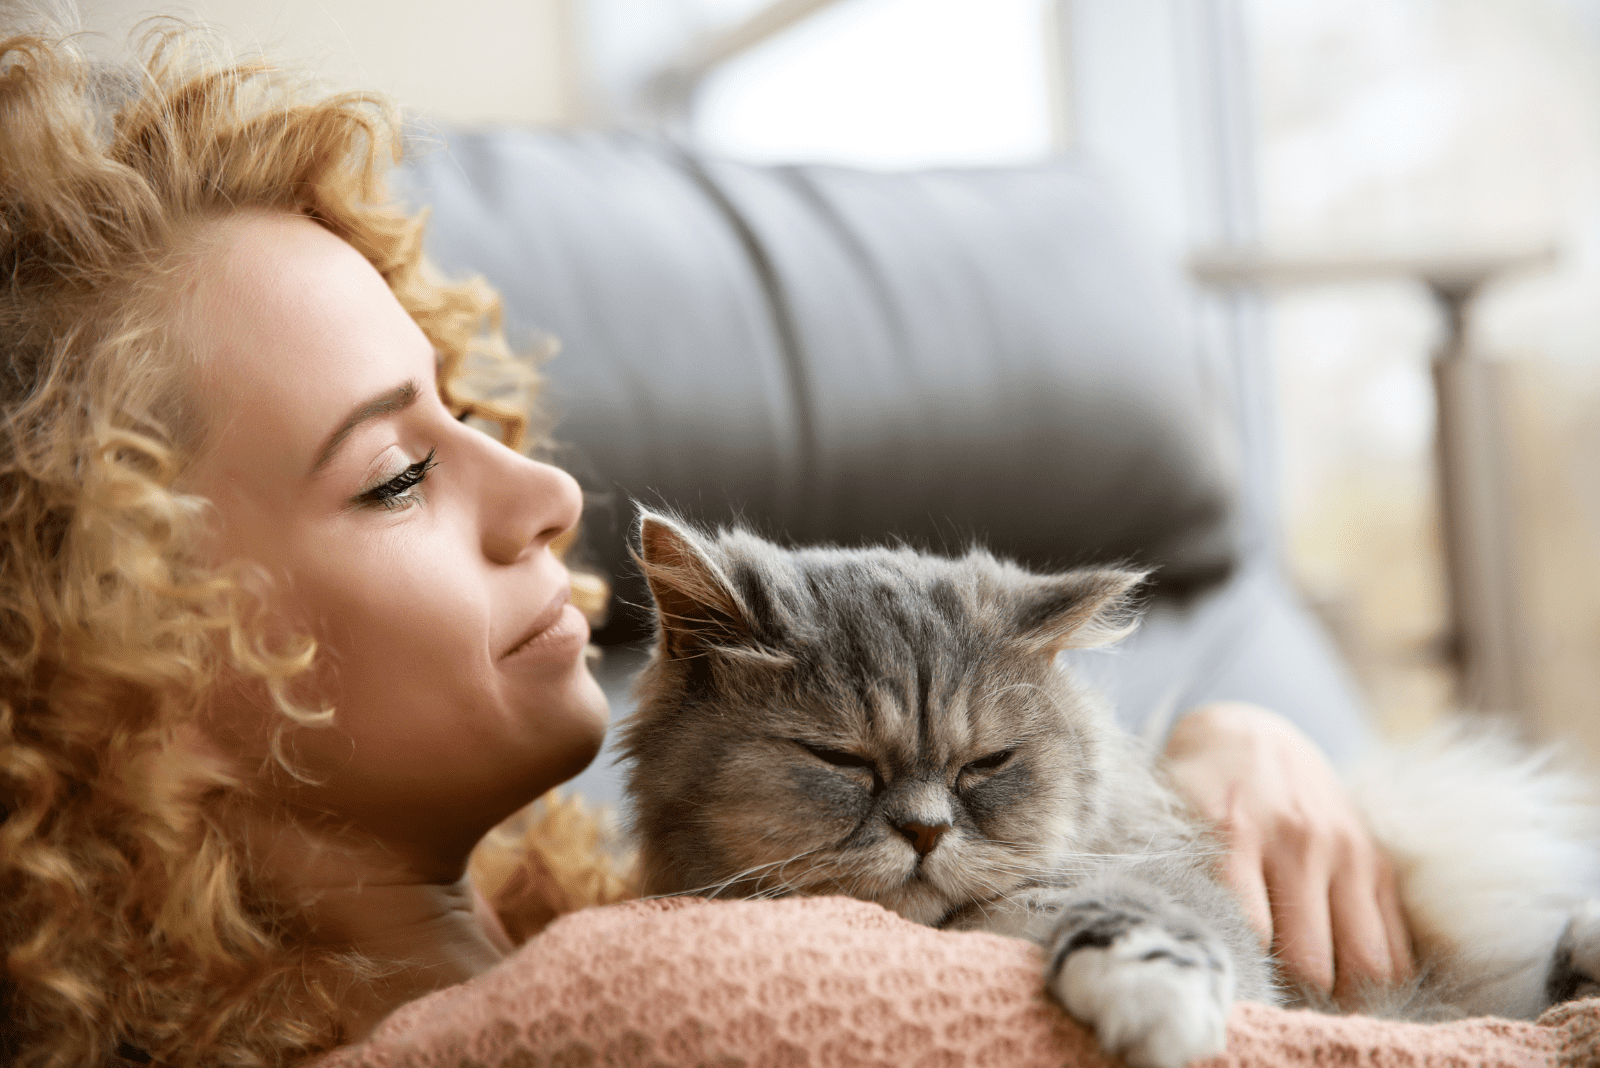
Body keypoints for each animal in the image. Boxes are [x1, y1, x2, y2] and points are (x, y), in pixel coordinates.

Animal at [617, 511, 1600, 1068]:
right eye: (841, 761)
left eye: (985, 765)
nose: (926, 833)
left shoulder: (1165, 891)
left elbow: (1138, 925)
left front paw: (1159, 1010)